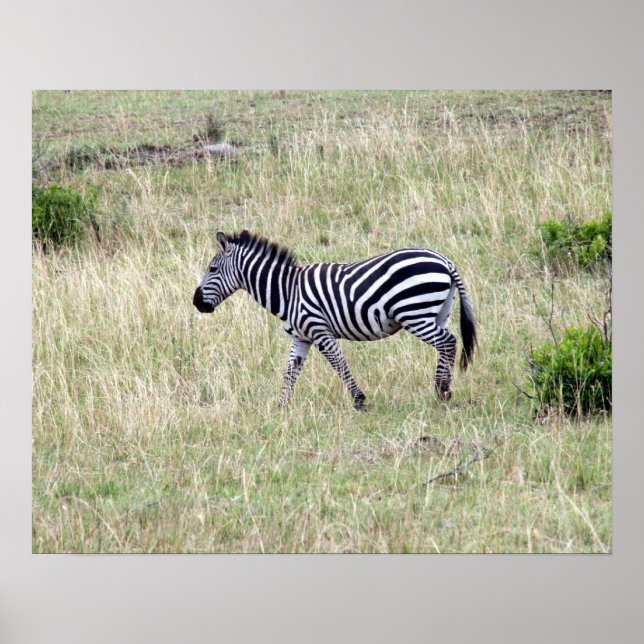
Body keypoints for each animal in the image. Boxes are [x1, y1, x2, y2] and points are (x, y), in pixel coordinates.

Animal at [193, 230, 477, 409]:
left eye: (212, 269)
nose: (196, 302)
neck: (287, 292)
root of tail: (444, 261)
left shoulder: (320, 331)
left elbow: (339, 364)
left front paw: (359, 399)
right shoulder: (301, 337)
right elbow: (290, 371)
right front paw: (282, 405)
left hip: (414, 313)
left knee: (448, 342)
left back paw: (442, 390)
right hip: (437, 312)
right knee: (446, 344)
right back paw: (443, 388)